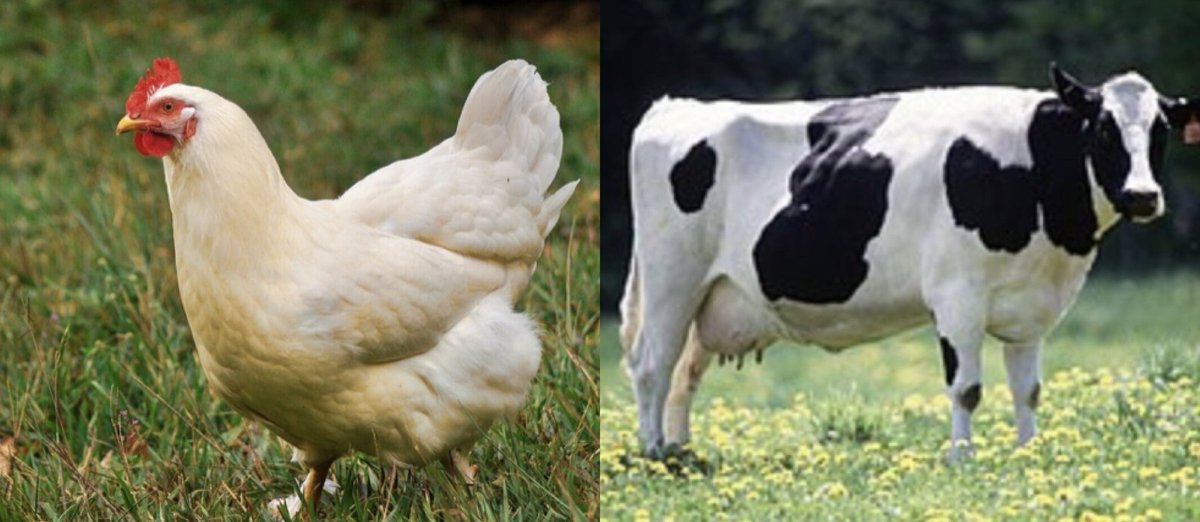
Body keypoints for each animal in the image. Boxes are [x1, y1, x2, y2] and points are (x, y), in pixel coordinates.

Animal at [620, 64, 1199, 460]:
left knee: (685, 373)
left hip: (713, 295)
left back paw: (683, 452)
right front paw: (962, 459)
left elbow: (1028, 390)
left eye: (1160, 131)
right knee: (652, 365)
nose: (1143, 196)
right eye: (1102, 129)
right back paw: (654, 454)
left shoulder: (1030, 307)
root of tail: (676, 106)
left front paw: (1027, 453)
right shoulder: (957, 295)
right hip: (672, 279)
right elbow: (967, 389)